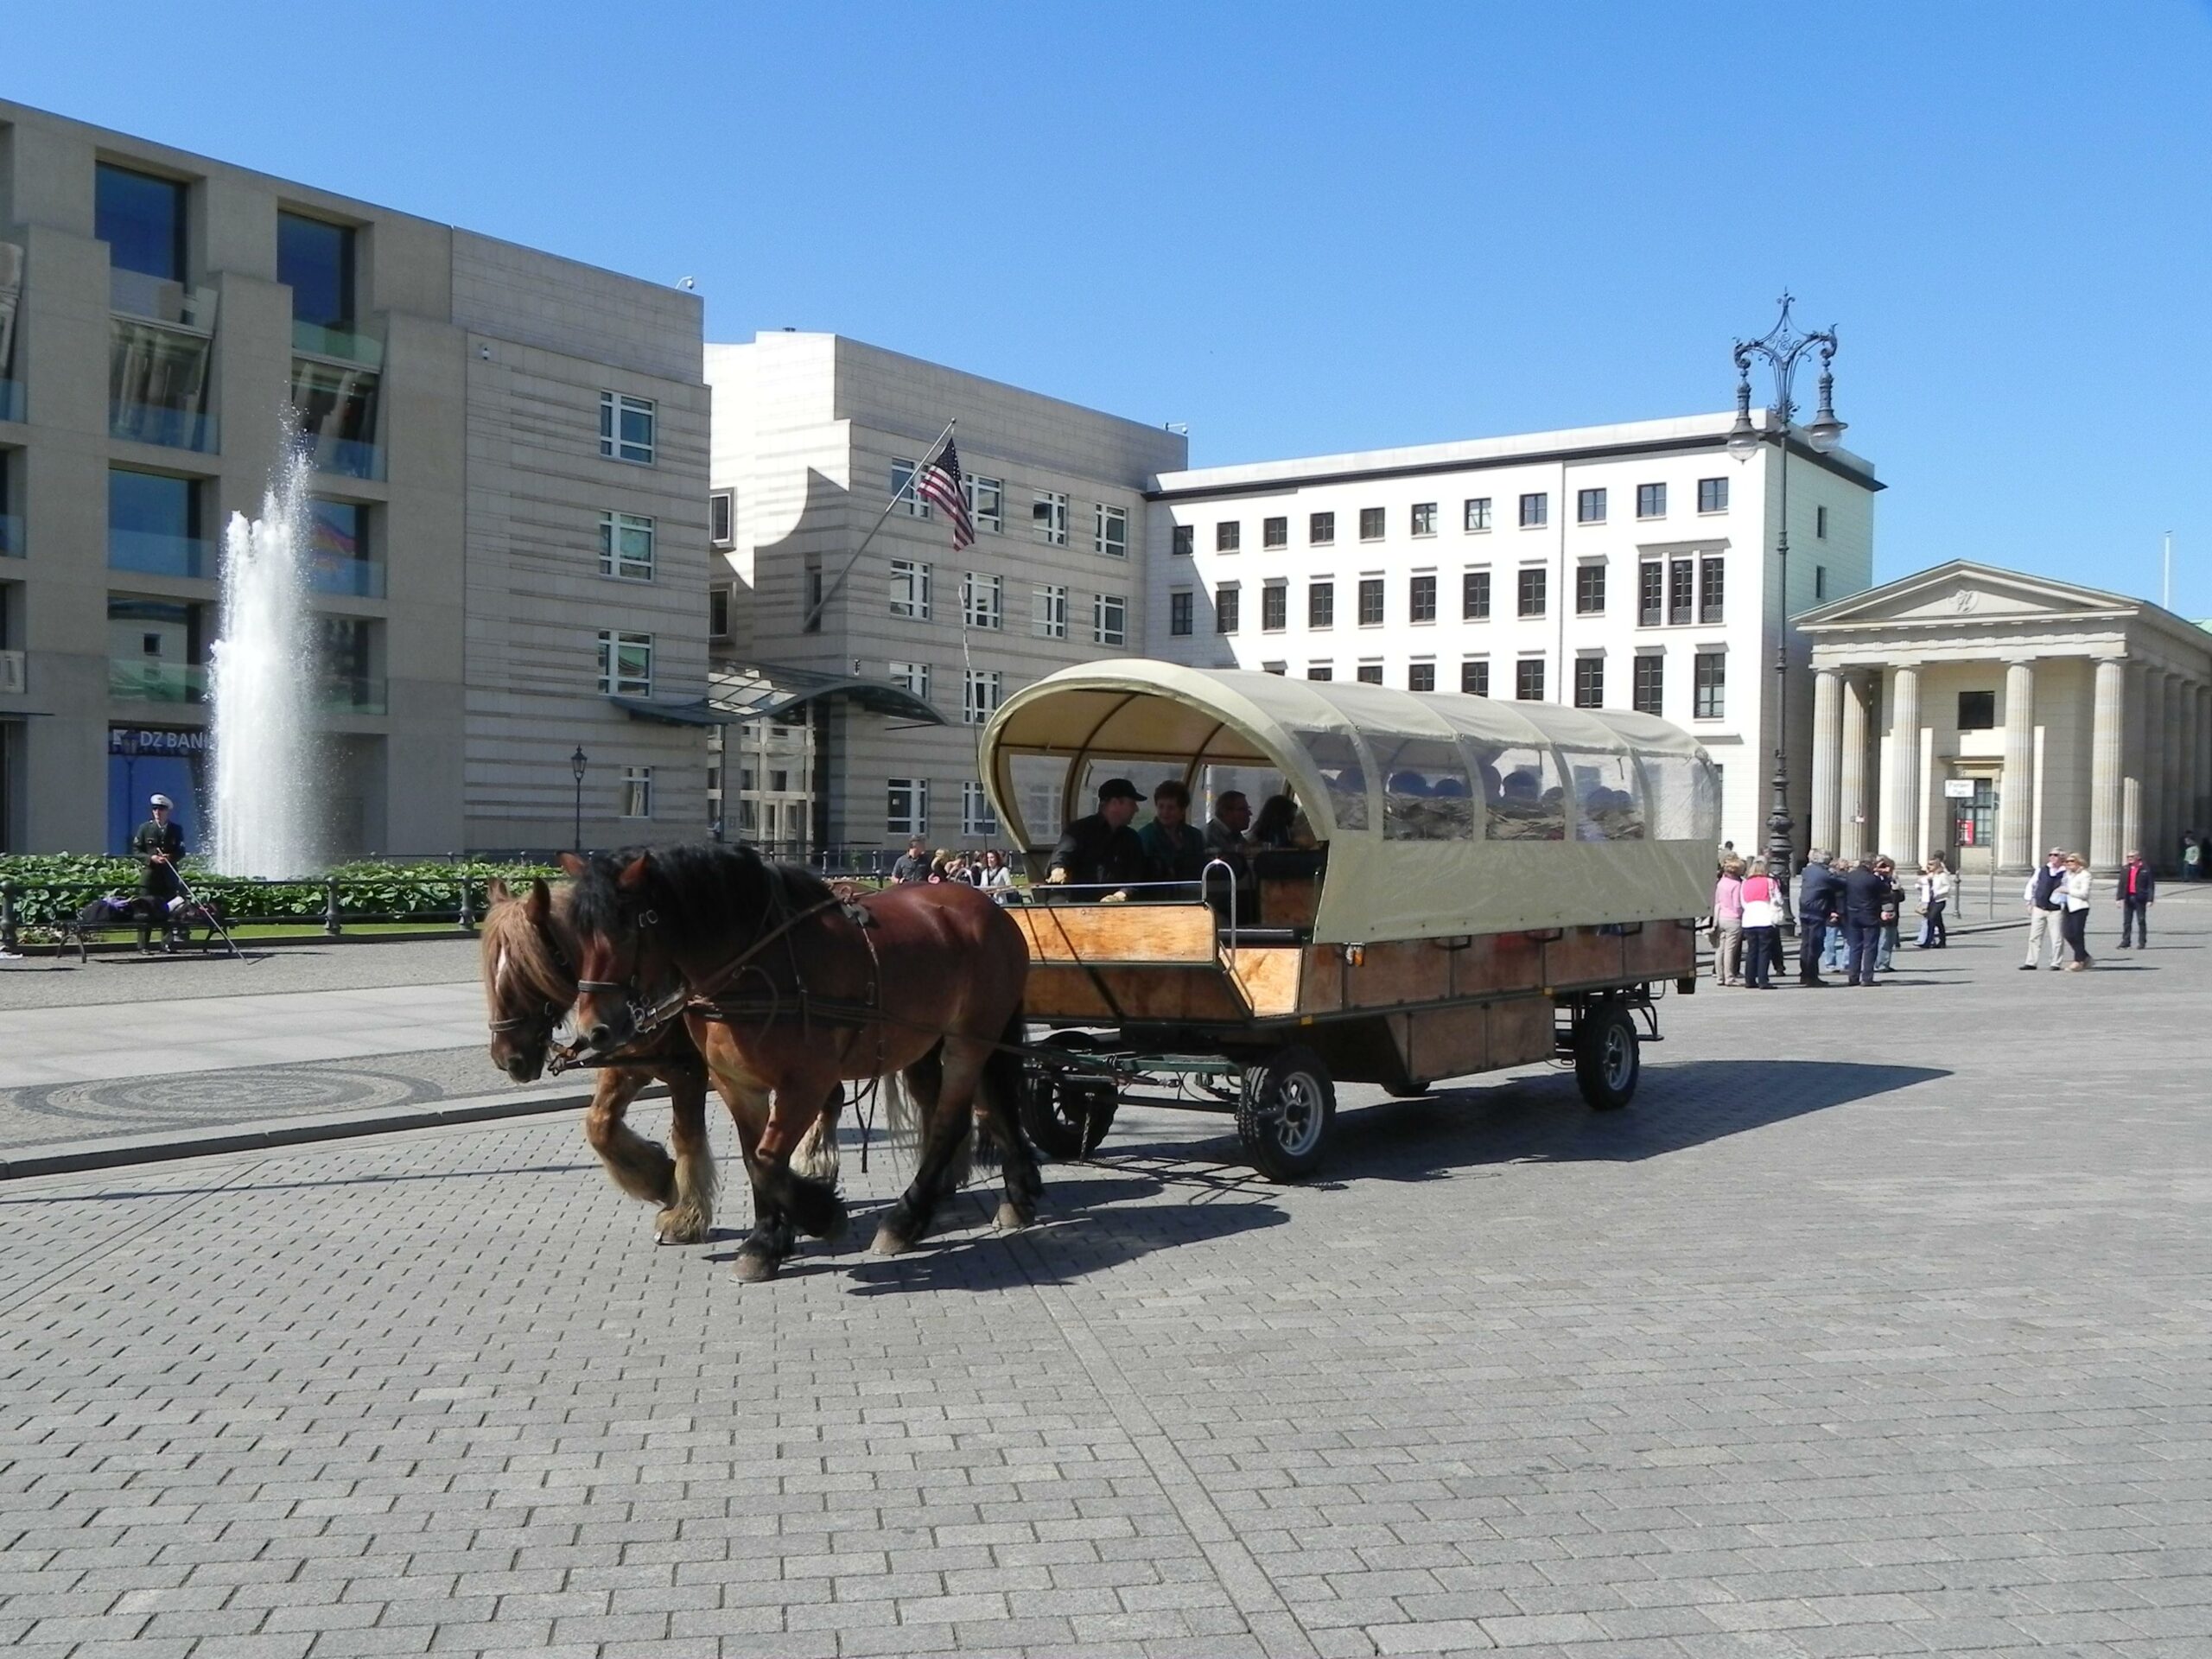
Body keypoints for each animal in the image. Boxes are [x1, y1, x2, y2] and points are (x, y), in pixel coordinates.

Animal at [477, 885, 836, 1247]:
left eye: (524, 971)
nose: (507, 1058)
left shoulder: (687, 1071)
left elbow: (686, 1136)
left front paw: (685, 1214)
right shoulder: (629, 1065)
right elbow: (599, 1125)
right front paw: (659, 1177)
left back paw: (815, 1159)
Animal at [553, 844, 1035, 1282]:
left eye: (624, 930)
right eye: (576, 936)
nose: (593, 1030)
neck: (755, 965)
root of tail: (989, 909)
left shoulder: (805, 1083)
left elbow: (768, 1161)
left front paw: (819, 1215)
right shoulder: (734, 1084)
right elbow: (753, 1159)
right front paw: (767, 1240)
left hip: (968, 1041)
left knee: (949, 1123)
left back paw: (906, 1219)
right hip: (946, 1042)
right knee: (987, 1105)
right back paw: (1017, 1192)